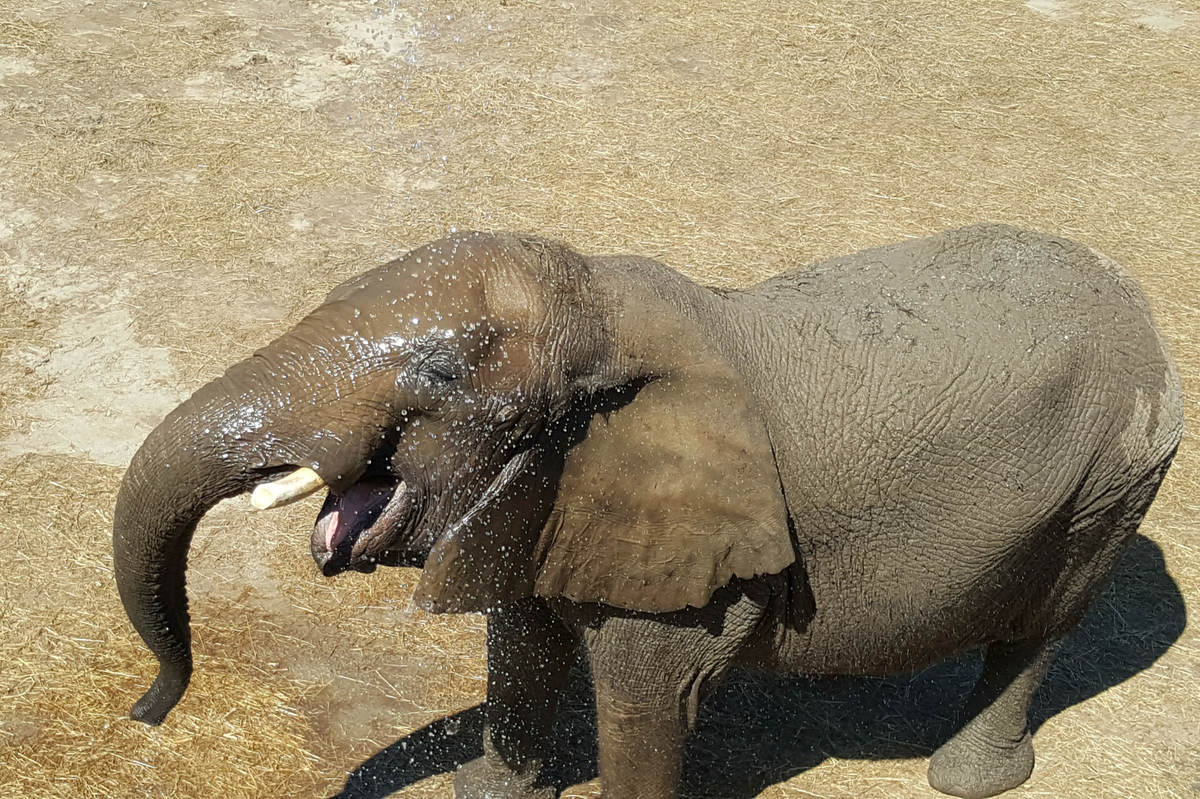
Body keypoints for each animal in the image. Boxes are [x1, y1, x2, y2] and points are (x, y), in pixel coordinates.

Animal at [113, 223, 1183, 799]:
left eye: (442, 375)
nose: (146, 710)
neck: (605, 315)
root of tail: (1141, 304)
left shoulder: (695, 561)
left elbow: (644, 700)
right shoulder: (558, 496)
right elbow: (521, 641)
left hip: (1112, 483)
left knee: (1040, 627)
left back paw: (965, 779)